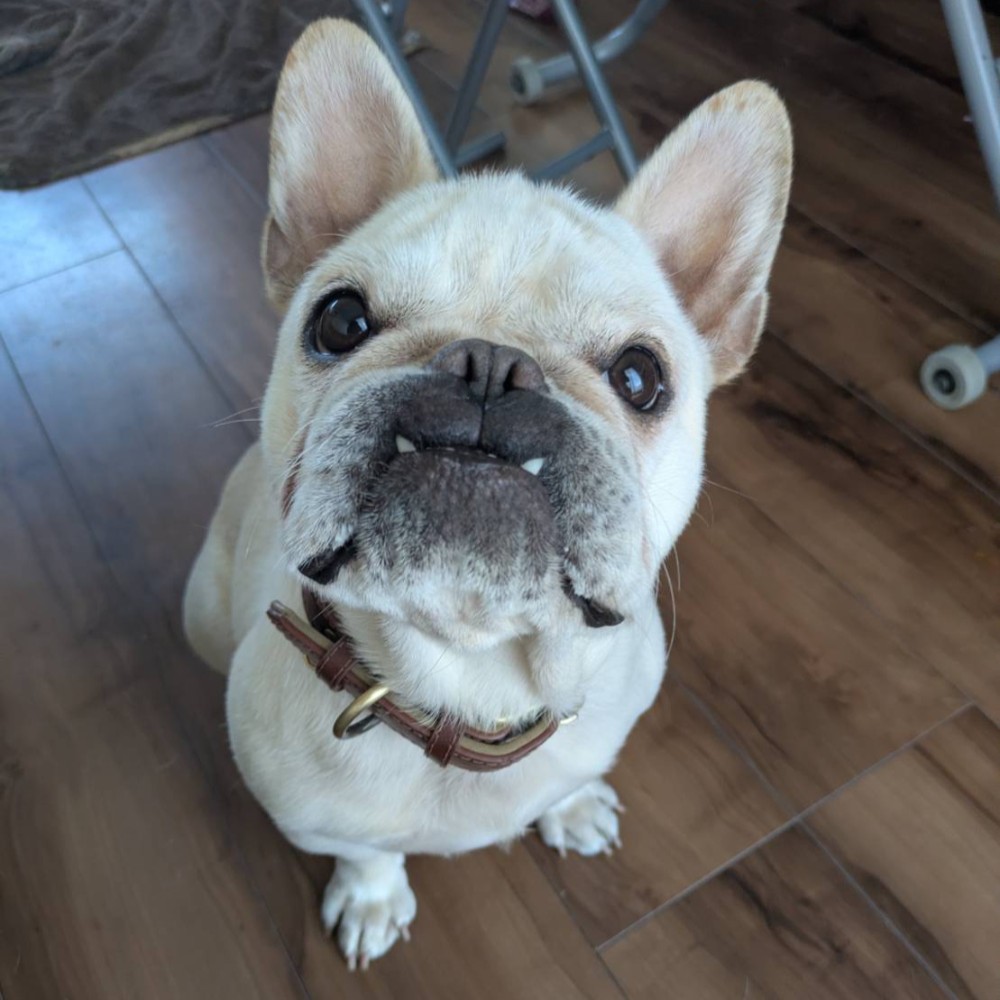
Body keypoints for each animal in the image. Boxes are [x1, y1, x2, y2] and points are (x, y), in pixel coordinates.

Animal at [183, 17, 791, 970]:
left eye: (641, 376)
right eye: (341, 320)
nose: (490, 367)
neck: (471, 681)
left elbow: (575, 774)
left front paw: (571, 806)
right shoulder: (314, 821)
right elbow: (364, 851)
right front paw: (373, 897)